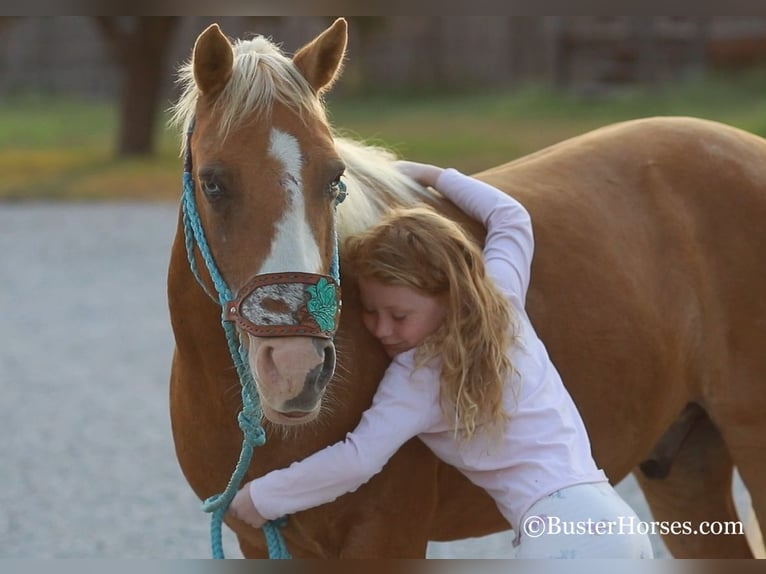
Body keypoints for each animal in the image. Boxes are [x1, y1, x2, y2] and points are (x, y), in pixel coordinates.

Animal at [170, 18, 766, 560]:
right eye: (214, 182)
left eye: (334, 178)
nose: (297, 370)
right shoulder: (260, 545)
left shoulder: (388, 540)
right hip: (685, 473)